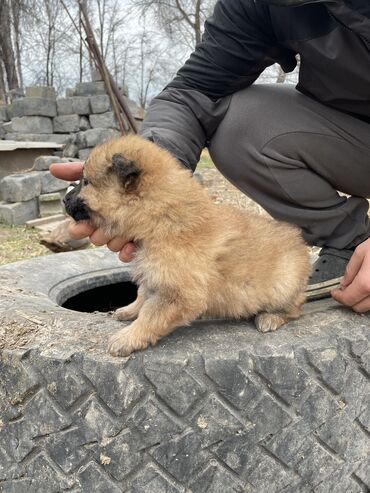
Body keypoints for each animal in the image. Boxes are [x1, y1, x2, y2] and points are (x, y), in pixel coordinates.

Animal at [64, 135, 312, 356]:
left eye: (86, 182)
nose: (64, 199)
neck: (161, 217)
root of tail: (299, 244)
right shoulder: (155, 275)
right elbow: (143, 295)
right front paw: (128, 311)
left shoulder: (178, 293)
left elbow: (150, 315)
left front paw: (127, 338)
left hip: (282, 287)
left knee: (295, 308)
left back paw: (270, 318)